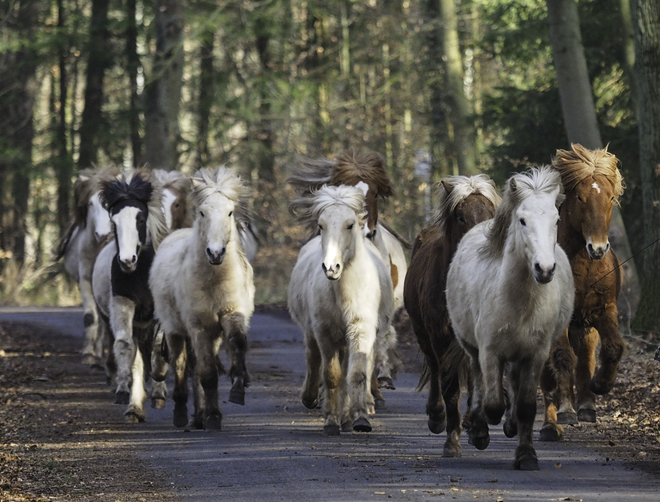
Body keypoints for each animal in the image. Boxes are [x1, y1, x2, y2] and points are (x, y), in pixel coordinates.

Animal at [288, 184, 392, 436]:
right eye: (321, 225)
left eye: (350, 224)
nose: (331, 267)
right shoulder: (324, 332)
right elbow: (332, 376)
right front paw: (332, 421)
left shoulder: (360, 330)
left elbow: (356, 374)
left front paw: (360, 418)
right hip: (313, 331)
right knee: (313, 358)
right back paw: (311, 398)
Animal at [402, 175, 500, 456]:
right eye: (460, 216)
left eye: (492, 213)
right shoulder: (441, 338)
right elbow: (450, 388)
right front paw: (452, 440)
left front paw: (479, 431)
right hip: (423, 335)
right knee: (435, 370)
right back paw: (437, 417)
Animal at [446, 169, 576, 470]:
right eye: (522, 220)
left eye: (556, 220)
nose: (544, 269)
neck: (520, 301)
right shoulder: (489, 351)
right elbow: (492, 402)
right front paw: (480, 431)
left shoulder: (536, 353)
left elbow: (527, 406)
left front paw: (526, 455)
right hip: (472, 348)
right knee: (479, 380)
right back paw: (481, 427)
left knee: (514, 383)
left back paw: (511, 424)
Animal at [540, 143, 628, 442]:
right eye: (579, 197)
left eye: (610, 197)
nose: (598, 248)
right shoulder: (559, 320)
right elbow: (563, 357)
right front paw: (566, 409)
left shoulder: (604, 310)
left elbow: (613, 348)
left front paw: (600, 385)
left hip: (585, 325)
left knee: (586, 357)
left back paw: (587, 405)